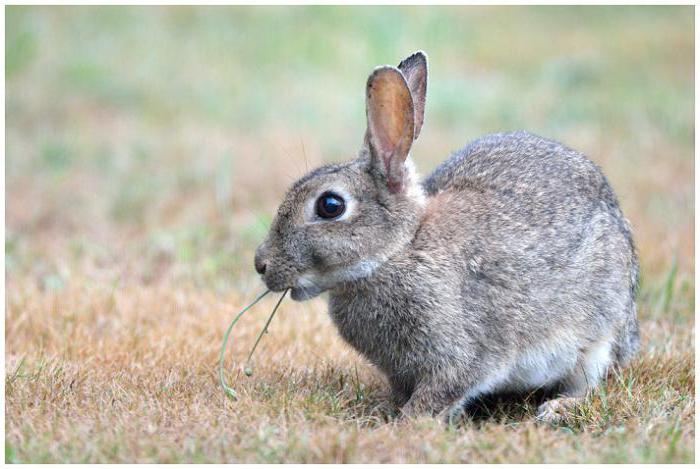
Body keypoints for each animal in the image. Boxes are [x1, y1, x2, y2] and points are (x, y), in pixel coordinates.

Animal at [253, 52, 640, 424]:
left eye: (330, 205)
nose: (261, 263)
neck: (398, 251)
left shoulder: (462, 353)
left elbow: (442, 391)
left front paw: (406, 424)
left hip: (598, 335)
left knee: (591, 382)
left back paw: (559, 409)